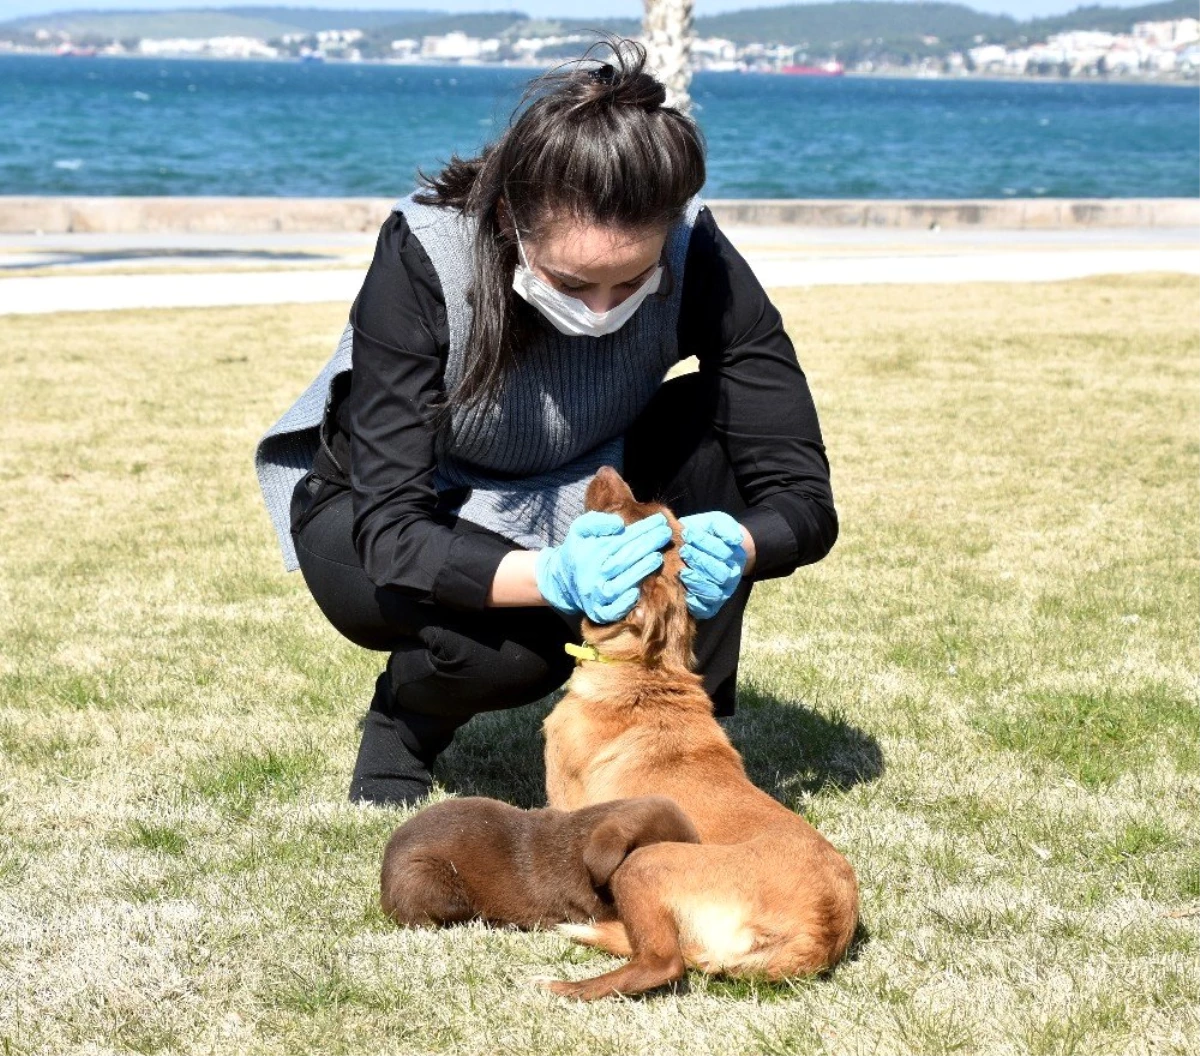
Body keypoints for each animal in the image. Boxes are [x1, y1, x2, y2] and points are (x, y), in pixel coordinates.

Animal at [544, 468, 864, 998]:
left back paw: (570, 984)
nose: (607, 471)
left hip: (647, 863)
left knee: (662, 962)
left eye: (629, 523)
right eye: (663, 518)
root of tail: (819, 930)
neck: (647, 673)